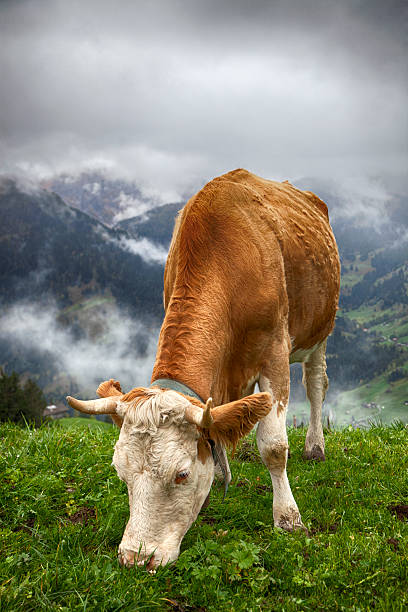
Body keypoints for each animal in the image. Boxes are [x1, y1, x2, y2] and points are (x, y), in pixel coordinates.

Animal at [67, 167, 342, 568]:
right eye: (120, 472)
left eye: (181, 474)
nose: (136, 558)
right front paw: (217, 479)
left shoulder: (274, 352)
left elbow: (274, 446)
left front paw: (288, 518)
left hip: (320, 329)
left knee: (316, 384)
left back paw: (315, 447)